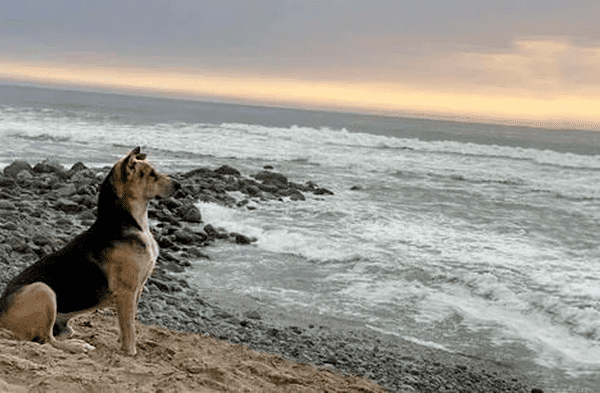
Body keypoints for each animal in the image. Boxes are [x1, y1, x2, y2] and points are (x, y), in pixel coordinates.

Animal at [0, 147, 172, 356]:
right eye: (152, 175)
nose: (179, 185)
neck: (129, 222)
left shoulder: (137, 289)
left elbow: (127, 323)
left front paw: (122, 341)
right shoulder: (127, 291)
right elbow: (129, 325)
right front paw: (130, 351)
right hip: (43, 289)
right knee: (47, 340)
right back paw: (77, 346)